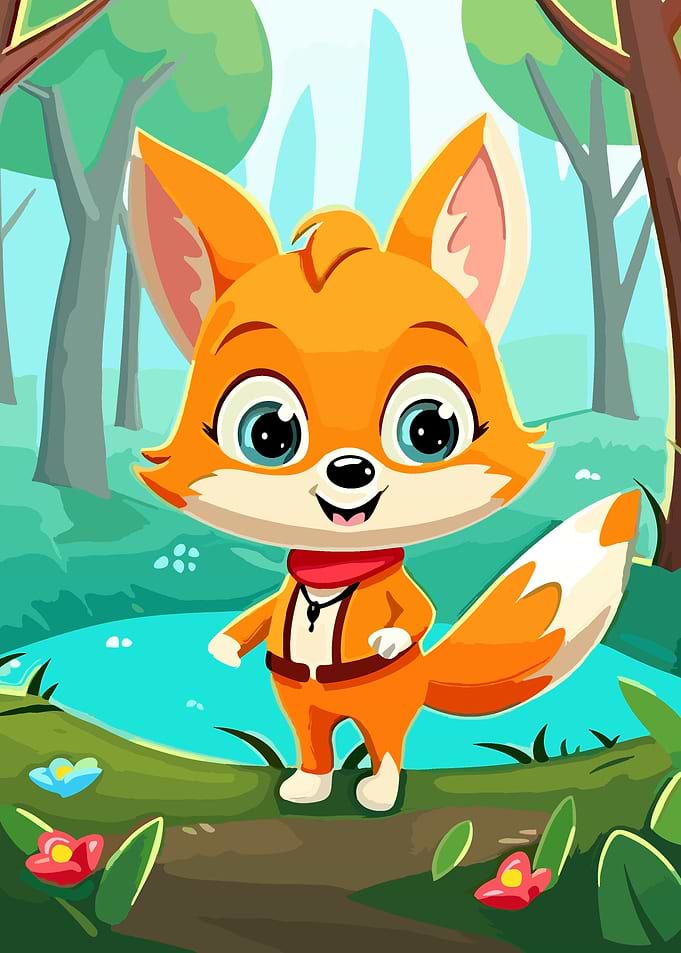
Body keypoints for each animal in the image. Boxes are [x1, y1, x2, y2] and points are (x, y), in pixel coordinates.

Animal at [126, 114, 640, 813]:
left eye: (430, 429)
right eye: (269, 433)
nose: (351, 470)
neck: (333, 569)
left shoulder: (396, 598)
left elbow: (415, 611)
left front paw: (390, 638)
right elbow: (256, 620)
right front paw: (224, 647)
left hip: (388, 702)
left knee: (387, 741)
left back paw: (379, 788)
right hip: (302, 706)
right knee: (313, 739)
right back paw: (309, 782)